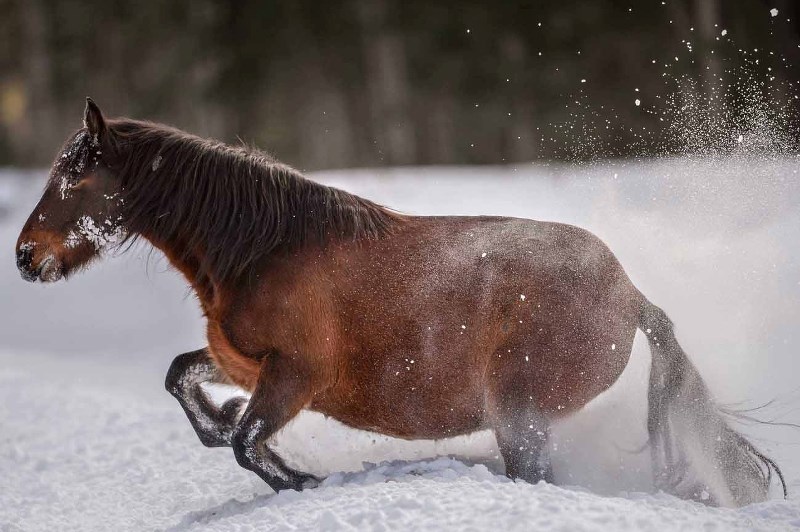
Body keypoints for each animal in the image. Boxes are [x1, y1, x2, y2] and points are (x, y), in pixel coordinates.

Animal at [14, 100, 788, 508]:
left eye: (73, 180)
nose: (25, 256)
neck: (265, 248)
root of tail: (632, 297)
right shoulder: (243, 364)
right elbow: (185, 380)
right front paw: (221, 421)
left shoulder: (294, 377)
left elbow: (246, 443)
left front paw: (301, 479)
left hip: (519, 414)